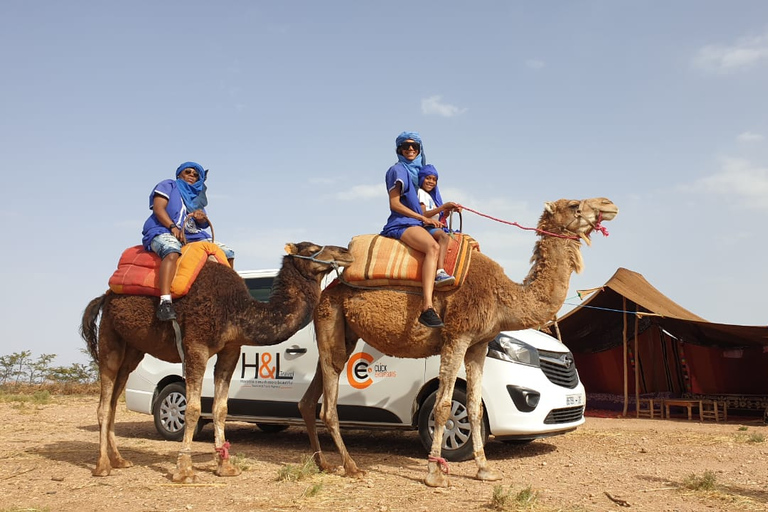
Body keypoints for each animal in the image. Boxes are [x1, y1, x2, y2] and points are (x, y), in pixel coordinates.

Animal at [78, 242, 354, 482]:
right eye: (311, 248)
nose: (345, 252)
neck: (236, 309)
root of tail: (105, 296)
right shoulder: (196, 345)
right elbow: (192, 408)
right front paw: (184, 470)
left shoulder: (231, 349)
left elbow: (221, 408)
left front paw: (225, 467)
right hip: (110, 337)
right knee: (105, 401)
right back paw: (102, 466)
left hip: (133, 349)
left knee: (114, 400)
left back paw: (119, 460)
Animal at [300, 198, 616, 486]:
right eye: (574, 204)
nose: (609, 205)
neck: (501, 296)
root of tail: (329, 286)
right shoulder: (457, 336)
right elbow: (443, 407)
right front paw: (434, 473)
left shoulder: (478, 344)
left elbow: (475, 407)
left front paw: (485, 470)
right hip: (330, 317)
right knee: (328, 403)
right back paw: (352, 467)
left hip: (344, 332)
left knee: (310, 396)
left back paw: (323, 463)